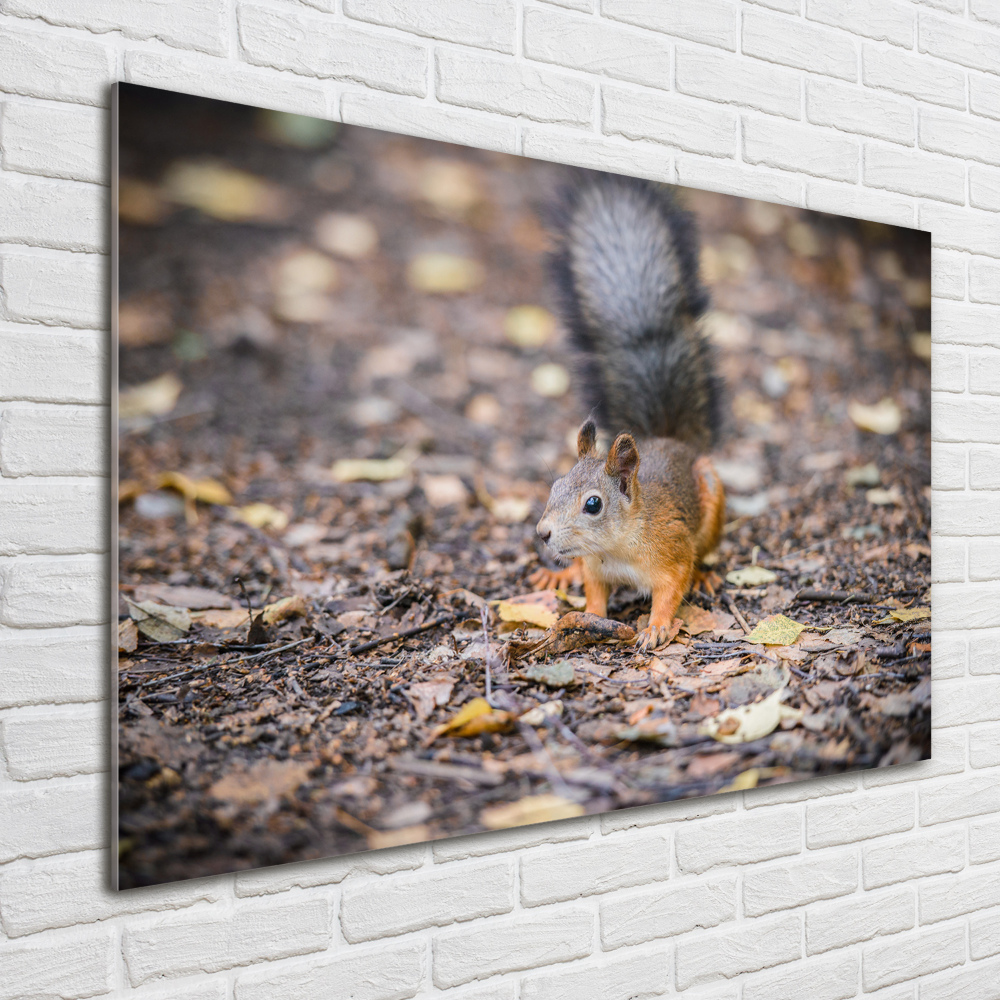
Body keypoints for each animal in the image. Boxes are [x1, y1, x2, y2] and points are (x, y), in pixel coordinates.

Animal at [532, 170, 728, 656]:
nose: (543, 534)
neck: (616, 548)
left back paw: (708, 574)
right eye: (555, 485)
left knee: (705, 553)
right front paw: (588, 613)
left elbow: (672, 589)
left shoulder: (672, 551)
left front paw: (656, 626)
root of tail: (671, 440)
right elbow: (594, 593)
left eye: (593, 504)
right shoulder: (595, 567)